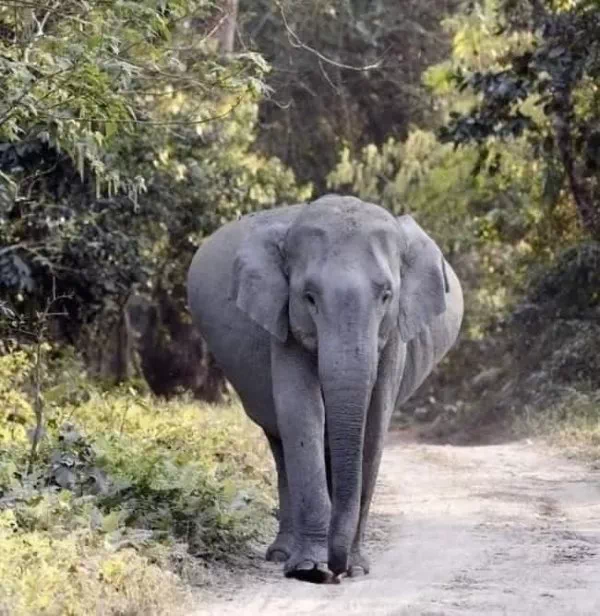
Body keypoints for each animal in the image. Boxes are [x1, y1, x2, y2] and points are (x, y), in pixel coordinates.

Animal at [188, 195, 464, 584]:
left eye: (386, 296)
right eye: (309, 297)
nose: (338, 568)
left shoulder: (395, 333)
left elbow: (374, 423)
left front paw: (357, 567)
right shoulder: (283, 322)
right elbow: (302, 414)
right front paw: (310, 570)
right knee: (281, 444)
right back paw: (282, 554)